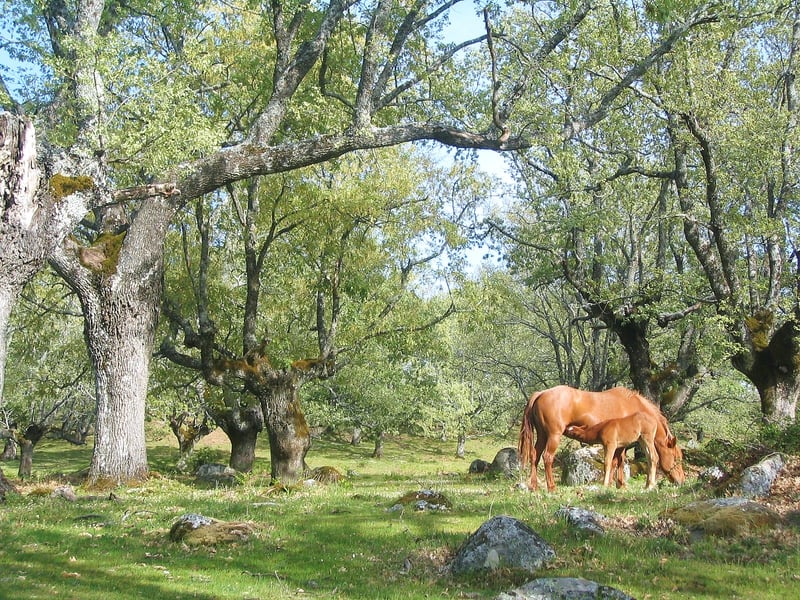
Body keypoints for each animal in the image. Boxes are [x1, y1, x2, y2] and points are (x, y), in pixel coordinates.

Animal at [518, 385, 684, 492]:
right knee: (547, 457)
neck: (633, 406)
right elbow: (618, 462)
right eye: (676, 459)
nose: (682, 480)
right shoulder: (620, 444)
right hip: (554, 436)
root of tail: (541, 393)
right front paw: (618, 484)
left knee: (535, 456)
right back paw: (551, 487)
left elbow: (616, 462)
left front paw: (615, 484)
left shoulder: (618, 444)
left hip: (542, 435)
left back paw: (533, 486)